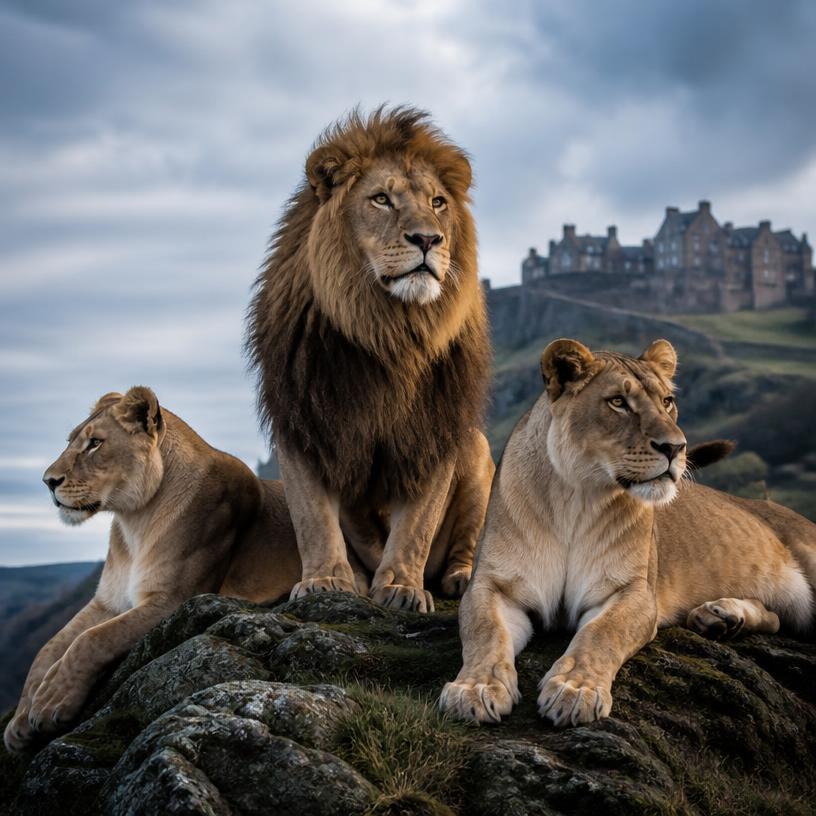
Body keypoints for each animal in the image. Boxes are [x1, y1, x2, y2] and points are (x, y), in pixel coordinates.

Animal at [4, 386, 306, 753]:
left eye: (95, 443)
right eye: (71, 440)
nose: (48, 481)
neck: (135, 523)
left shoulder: (174, 600)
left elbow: (93, 639)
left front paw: (51, 701)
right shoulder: (107, 601)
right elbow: (48, 648)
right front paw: (19, 722)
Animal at [246, 106, 493, 613]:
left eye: (438, 202)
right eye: (381, 199)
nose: (428, 239)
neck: (388, 331)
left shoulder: (437, 426)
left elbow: (417, 523)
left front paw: (401, 586)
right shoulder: (301, 420)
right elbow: (313, 518)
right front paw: (326, 581)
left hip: (479, 452)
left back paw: (459, 579)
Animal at [440, 338, 815, 728]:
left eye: (667, 401)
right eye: (618, 402)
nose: (676, 448)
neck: (576, 498)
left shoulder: (633, 592)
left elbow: (600, 634)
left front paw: (575, 690)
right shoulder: (494, 584)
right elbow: (485, 632)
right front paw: (475, 689)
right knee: (776, 619)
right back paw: (719, 618)